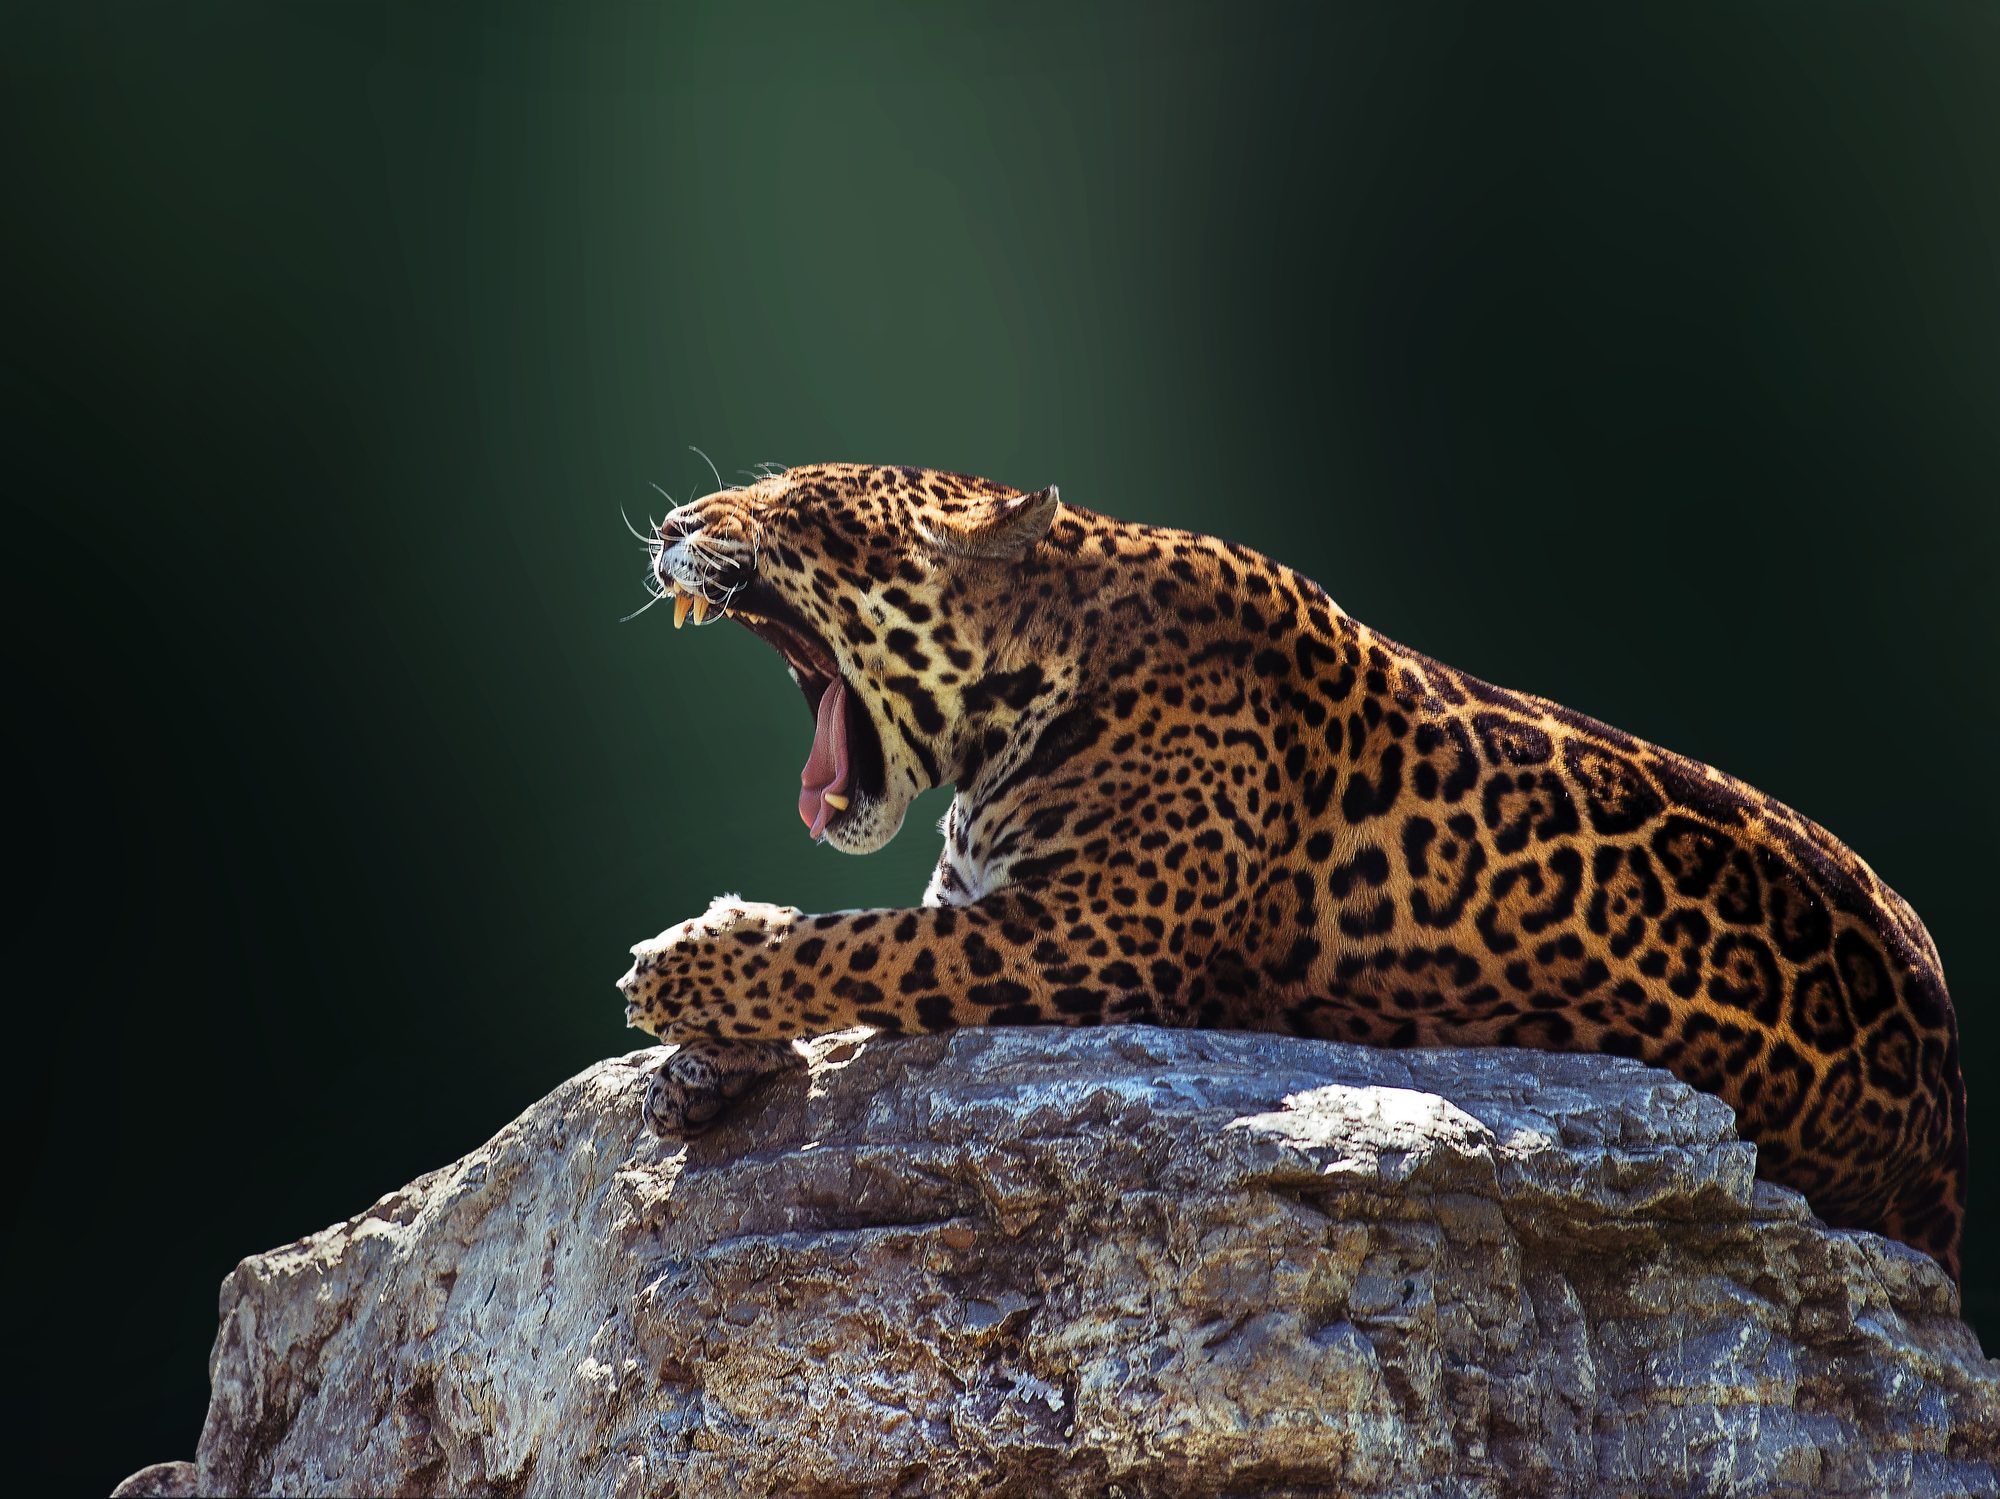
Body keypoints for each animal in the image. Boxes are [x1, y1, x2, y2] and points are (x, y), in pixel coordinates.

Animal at [617, 462, 1967, 1282]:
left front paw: (684, 969)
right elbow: (852, 949)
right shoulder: (987, 901)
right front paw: (700, 1063)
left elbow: (857, 945)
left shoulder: (1080, 938)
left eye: (789, 506)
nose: (674, 525)